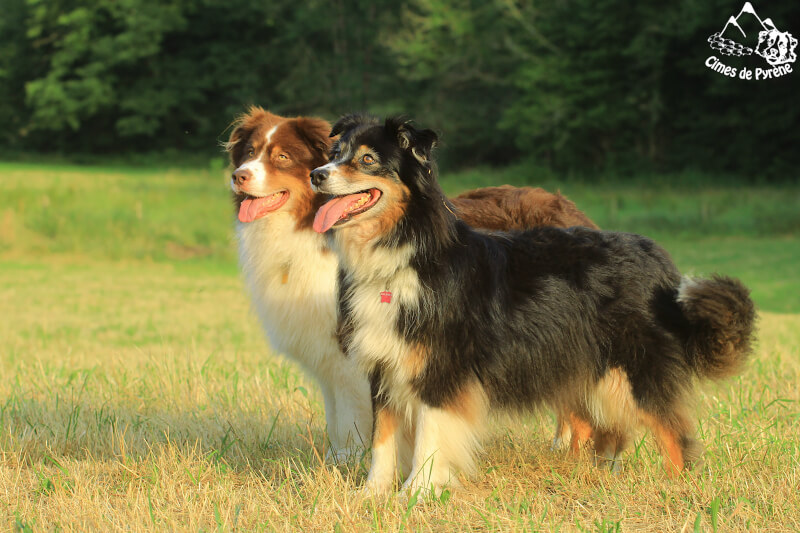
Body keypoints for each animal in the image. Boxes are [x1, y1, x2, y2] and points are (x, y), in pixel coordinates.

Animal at [228, 106, 596, 460]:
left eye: (282, 157)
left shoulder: (357, 347)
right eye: (250, 151)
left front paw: (354, 459)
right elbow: (337, 414)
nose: (238, 176)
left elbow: (355, 414)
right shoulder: (329, 349)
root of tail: (572, 209)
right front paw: (336, 459)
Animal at [310, 113, 752, 494]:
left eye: (367, 160)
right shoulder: (384, 365)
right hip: (592, 369)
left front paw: (418, 494)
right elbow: (382, 439)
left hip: (635, 368)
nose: (317, 175)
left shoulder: (441, 368)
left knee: (672, 431)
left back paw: (678, 487)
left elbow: (429, 438)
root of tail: (660, 261)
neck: (403, 248)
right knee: (610, 428)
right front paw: (372, 496)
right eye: (335, 154)